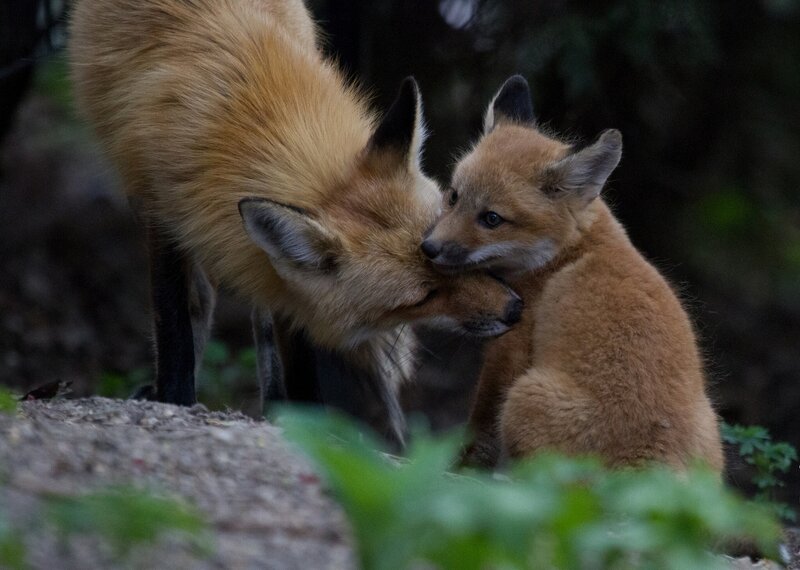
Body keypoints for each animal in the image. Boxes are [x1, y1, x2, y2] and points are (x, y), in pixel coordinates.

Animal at [67, 0, 522, 439]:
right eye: (423, 297)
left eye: (451, 249)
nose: (515, 309)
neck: (246, 98)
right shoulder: (161, 211)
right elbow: (175, 324)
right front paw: (175, 399)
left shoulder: (284, 277)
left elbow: (295, 345)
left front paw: (308, 422)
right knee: (202, 301)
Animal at [421, 75, 724, 472]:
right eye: (454, 197)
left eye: (492, 219)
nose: (429, 248)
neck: (567, 252)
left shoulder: (510, 346)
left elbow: (479, 430)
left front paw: (456, 470)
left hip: (524, 397)